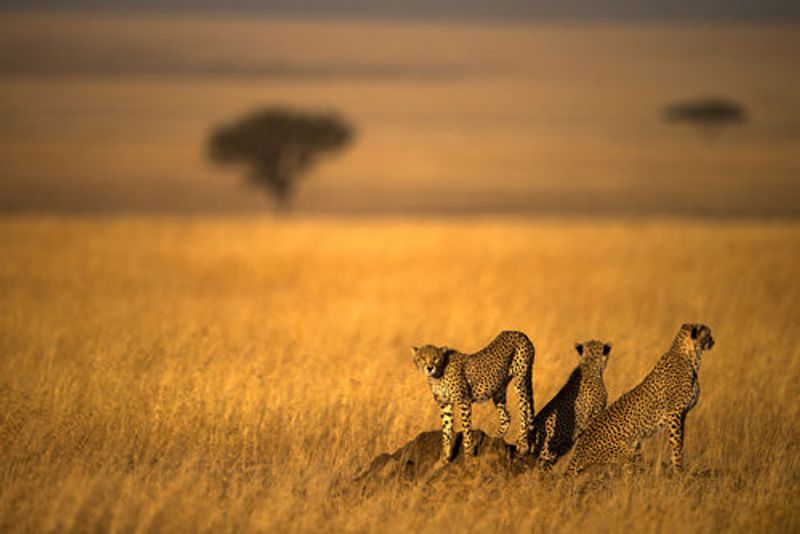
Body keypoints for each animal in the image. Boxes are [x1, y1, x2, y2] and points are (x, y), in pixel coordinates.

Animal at [412, 330, 535, 465]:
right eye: (422, 358)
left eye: (435, 358)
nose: (429, 367)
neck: (438, 375)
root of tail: (518, 332)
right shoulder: (445, 405)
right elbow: (446, 432)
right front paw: (444, 459)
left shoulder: (464, 402)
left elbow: (466, 431)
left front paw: (468, 457)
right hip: (499, 389)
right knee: (506, 417)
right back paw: (494, 441)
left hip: (520, 381)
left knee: (524, 411)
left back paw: (523, 444)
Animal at [566, 323, 715, 475]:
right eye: (708, 334)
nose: (713, 342)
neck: (690, 356)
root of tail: (576, 453)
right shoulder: (674, 413)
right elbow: (676, 443)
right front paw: (678, 470)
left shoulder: (682, 414)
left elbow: (680, 442)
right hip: (626, 452)